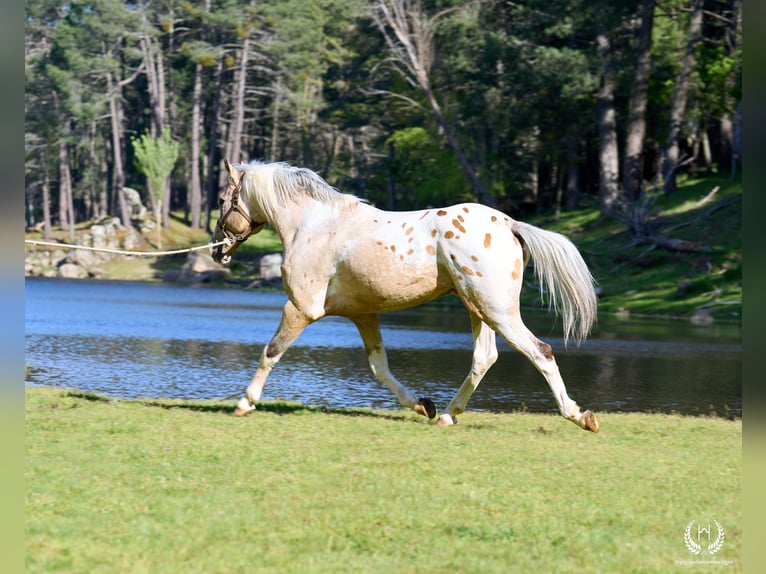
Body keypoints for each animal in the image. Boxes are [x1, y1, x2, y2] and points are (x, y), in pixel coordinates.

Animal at [210, 159, 600, 432]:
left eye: (222, 199)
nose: (216, 251)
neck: (313, 225)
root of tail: (509, 224)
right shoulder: (363, 314)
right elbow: (379, 367)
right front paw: (422, 404)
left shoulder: (301, 309)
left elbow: (270, 352)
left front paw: (245, 403)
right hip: (478, 309)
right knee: (484, 358)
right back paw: (447, 415)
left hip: (497, 310)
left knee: (540, 352)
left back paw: (580, 416)